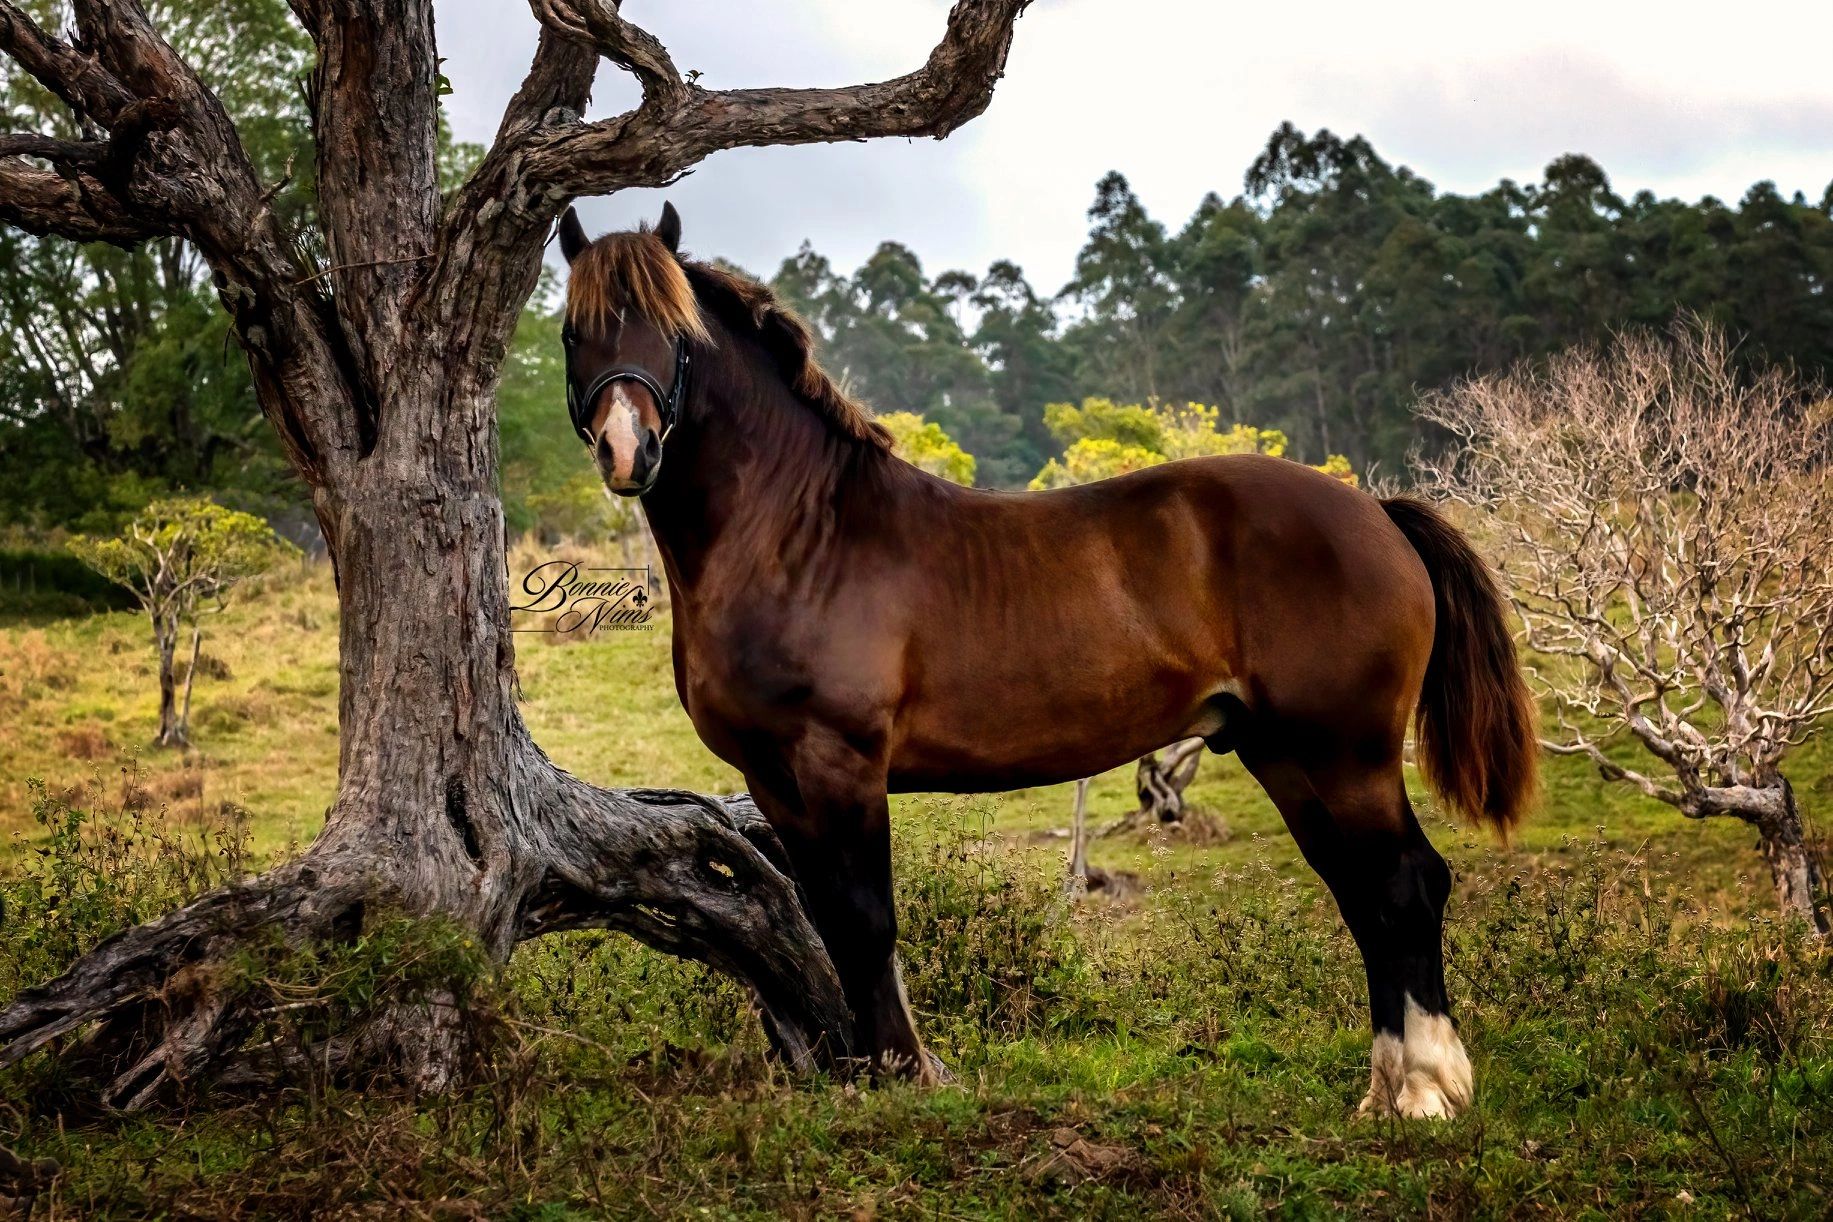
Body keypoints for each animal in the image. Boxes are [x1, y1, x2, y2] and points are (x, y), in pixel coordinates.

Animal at [552, 203, 1538, 1118]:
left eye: (677, 334)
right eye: (572, 331)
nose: (628, 450)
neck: (803, 535)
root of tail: (1374, 512)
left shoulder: (839, 764)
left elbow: (866, 922)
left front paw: (903, 1075)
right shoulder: (773, 780)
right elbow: (826, 921)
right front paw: (864, 1072)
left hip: (1346, 752)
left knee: (1404, 884)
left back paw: (1425, 1090)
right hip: (1283, 753)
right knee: (1360, 891)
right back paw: (1383, 1088)